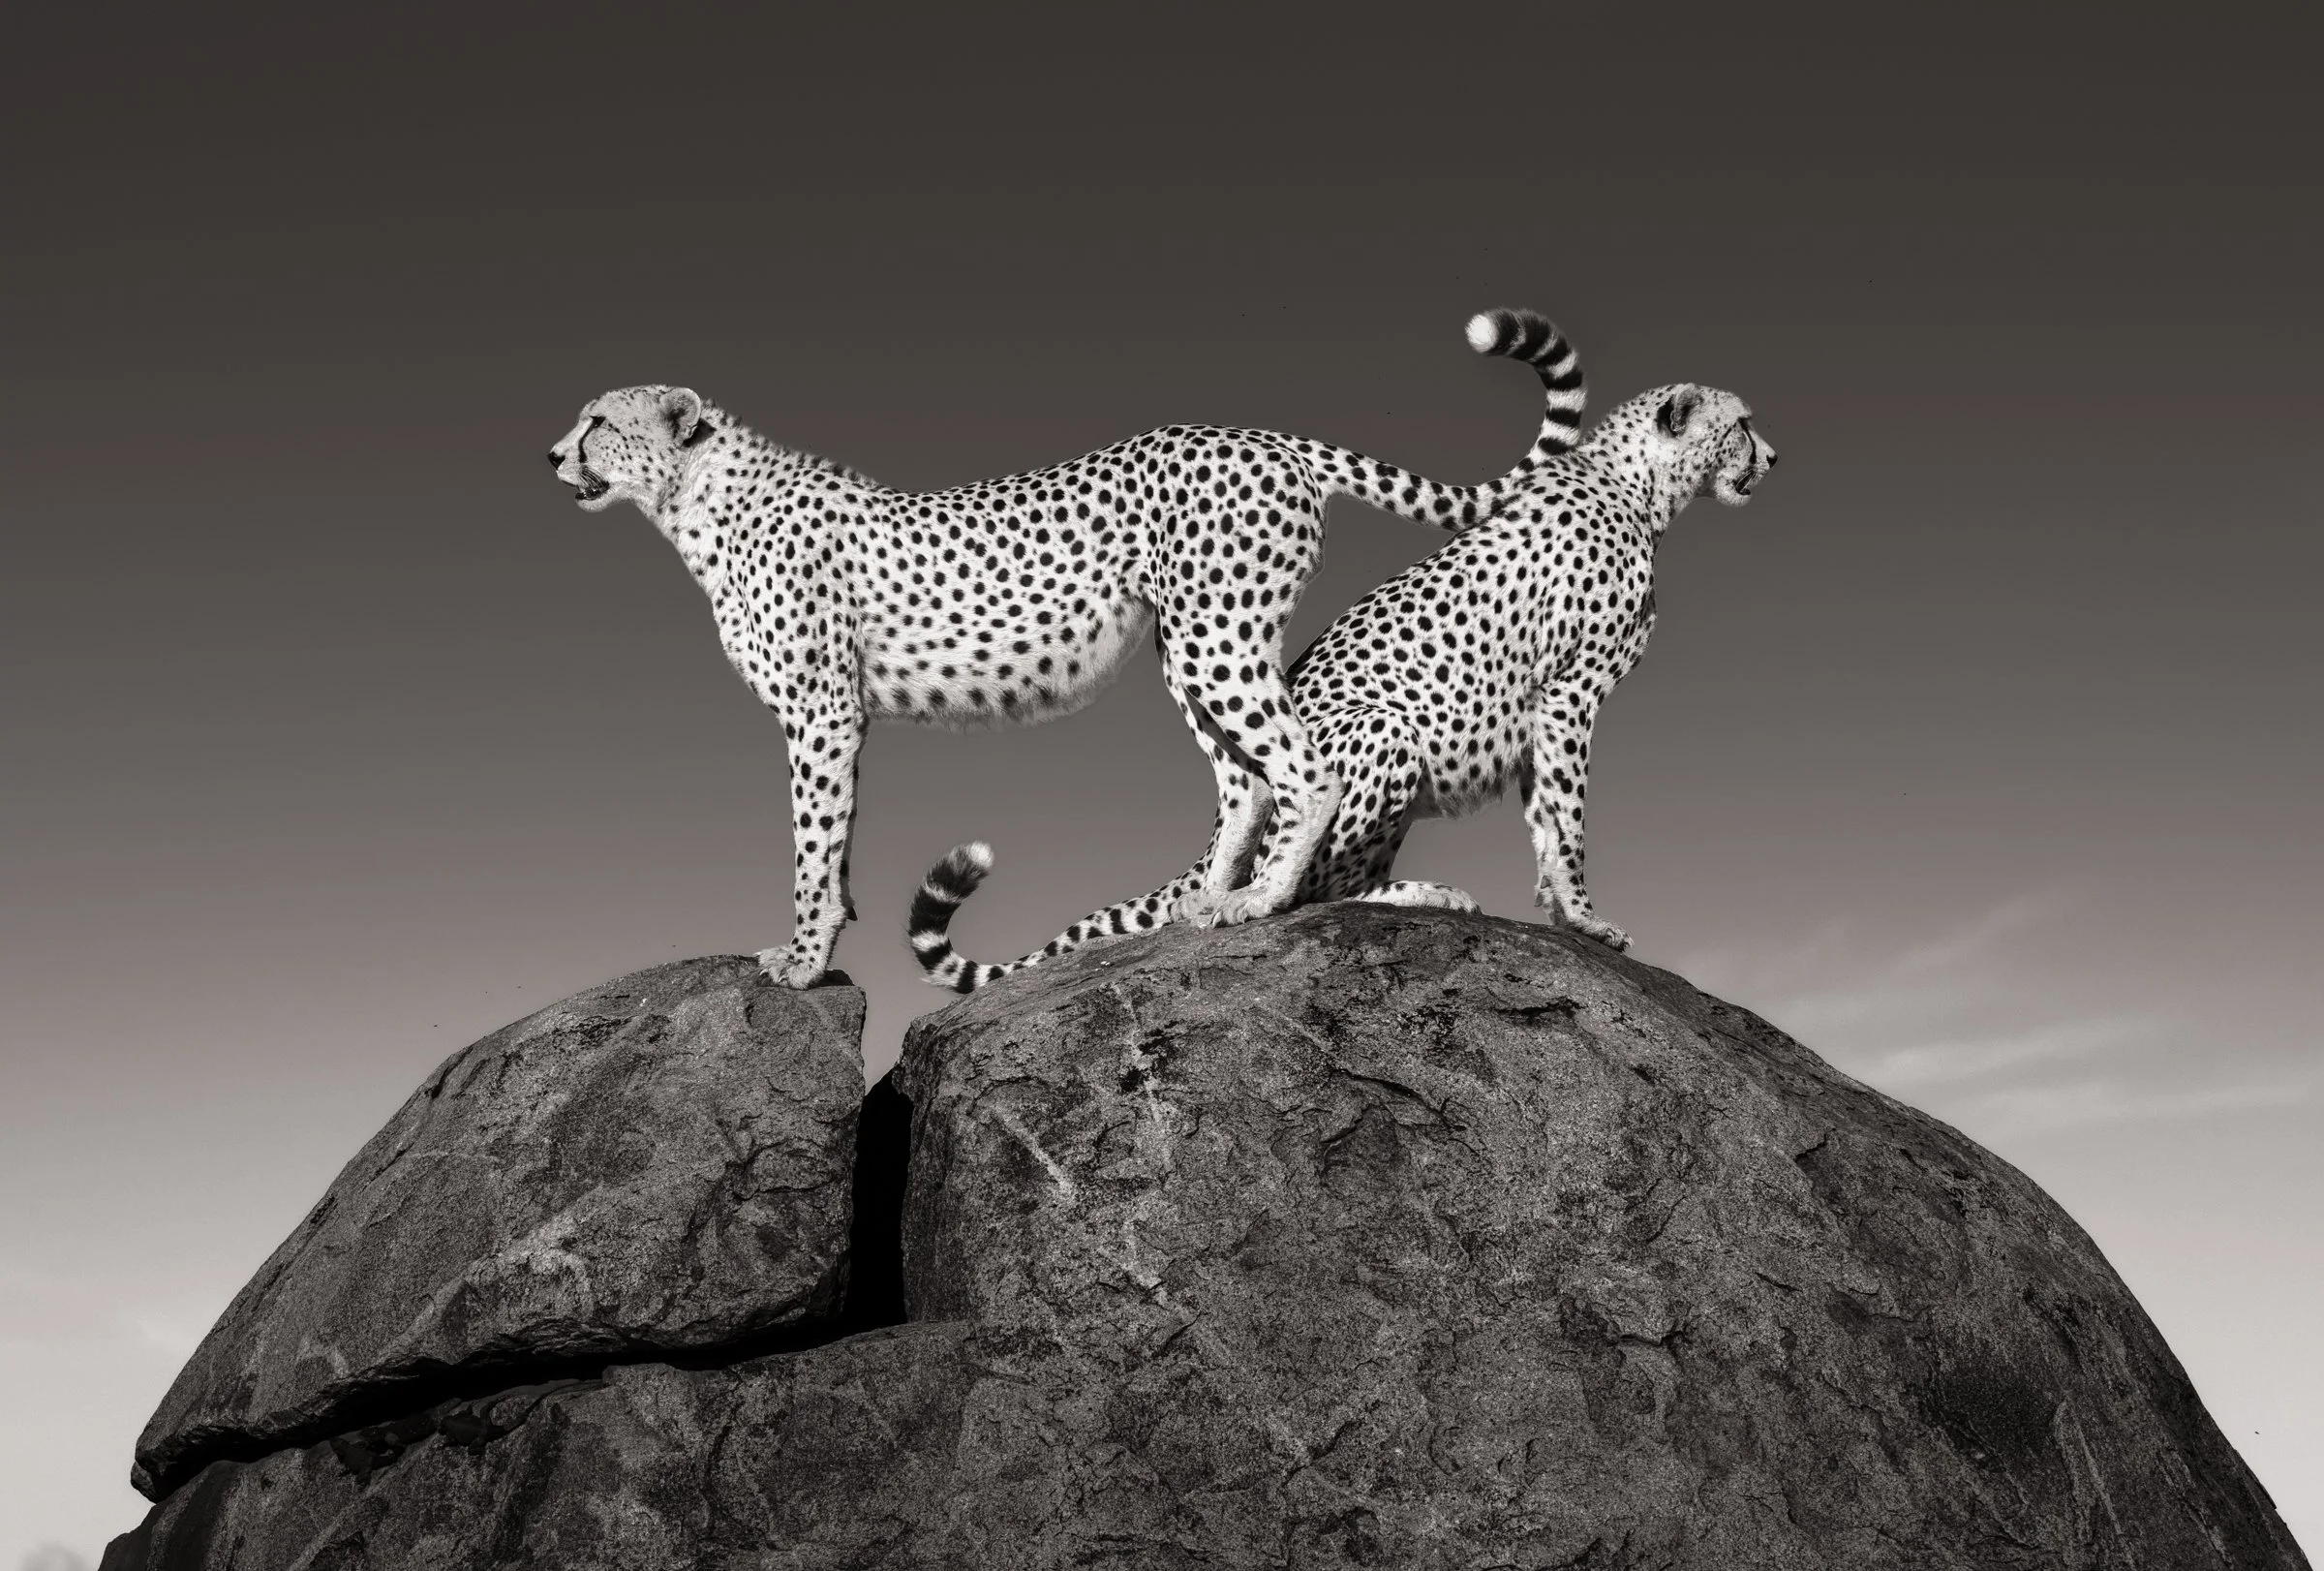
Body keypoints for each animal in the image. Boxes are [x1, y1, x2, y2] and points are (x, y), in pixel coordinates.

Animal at [549, 309, 1585, 984]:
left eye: (599, 422)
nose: (552, 456)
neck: (695, 496)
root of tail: (1264, 433)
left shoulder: (820, 713)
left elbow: (811, 846)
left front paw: (802, 963)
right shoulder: (840, 720)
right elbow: (835, 842)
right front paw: (828, 940)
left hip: (1217, 637)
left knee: (1302, 768)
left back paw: (1258, 903)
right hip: (1192, 648)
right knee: (1244, 779)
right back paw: (1204, 904)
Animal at [908, 330, 1778, 990]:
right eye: (1741, 424)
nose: (1773, 457)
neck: (1635, 490)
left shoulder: (1545, 707)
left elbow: (1545, 817)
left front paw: (1564, 913)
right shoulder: (1570, 694)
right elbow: (1567, 822)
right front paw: (1587, 919)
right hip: (1381, 727)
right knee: (1316, 887)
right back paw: (1350, 897)